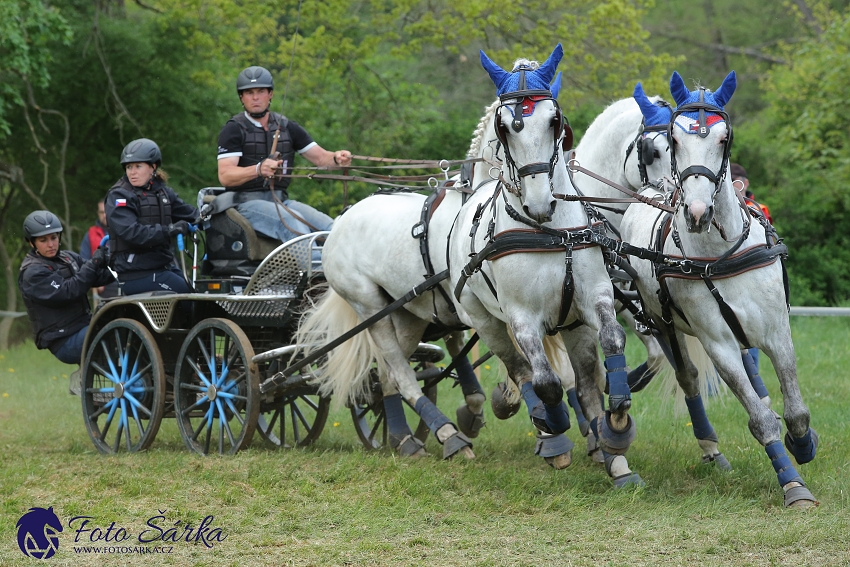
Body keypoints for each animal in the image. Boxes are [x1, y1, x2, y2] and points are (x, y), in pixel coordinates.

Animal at [620, 72, 820, 510]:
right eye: (675, 139)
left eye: (723, 138)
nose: (697, 213)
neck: (720, 252)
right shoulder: (719, 342)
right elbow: (760, 421)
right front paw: (793, 485)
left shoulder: (777, 331)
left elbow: (796, 411)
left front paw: (804, 443)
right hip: (663, 322)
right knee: (689, 377)